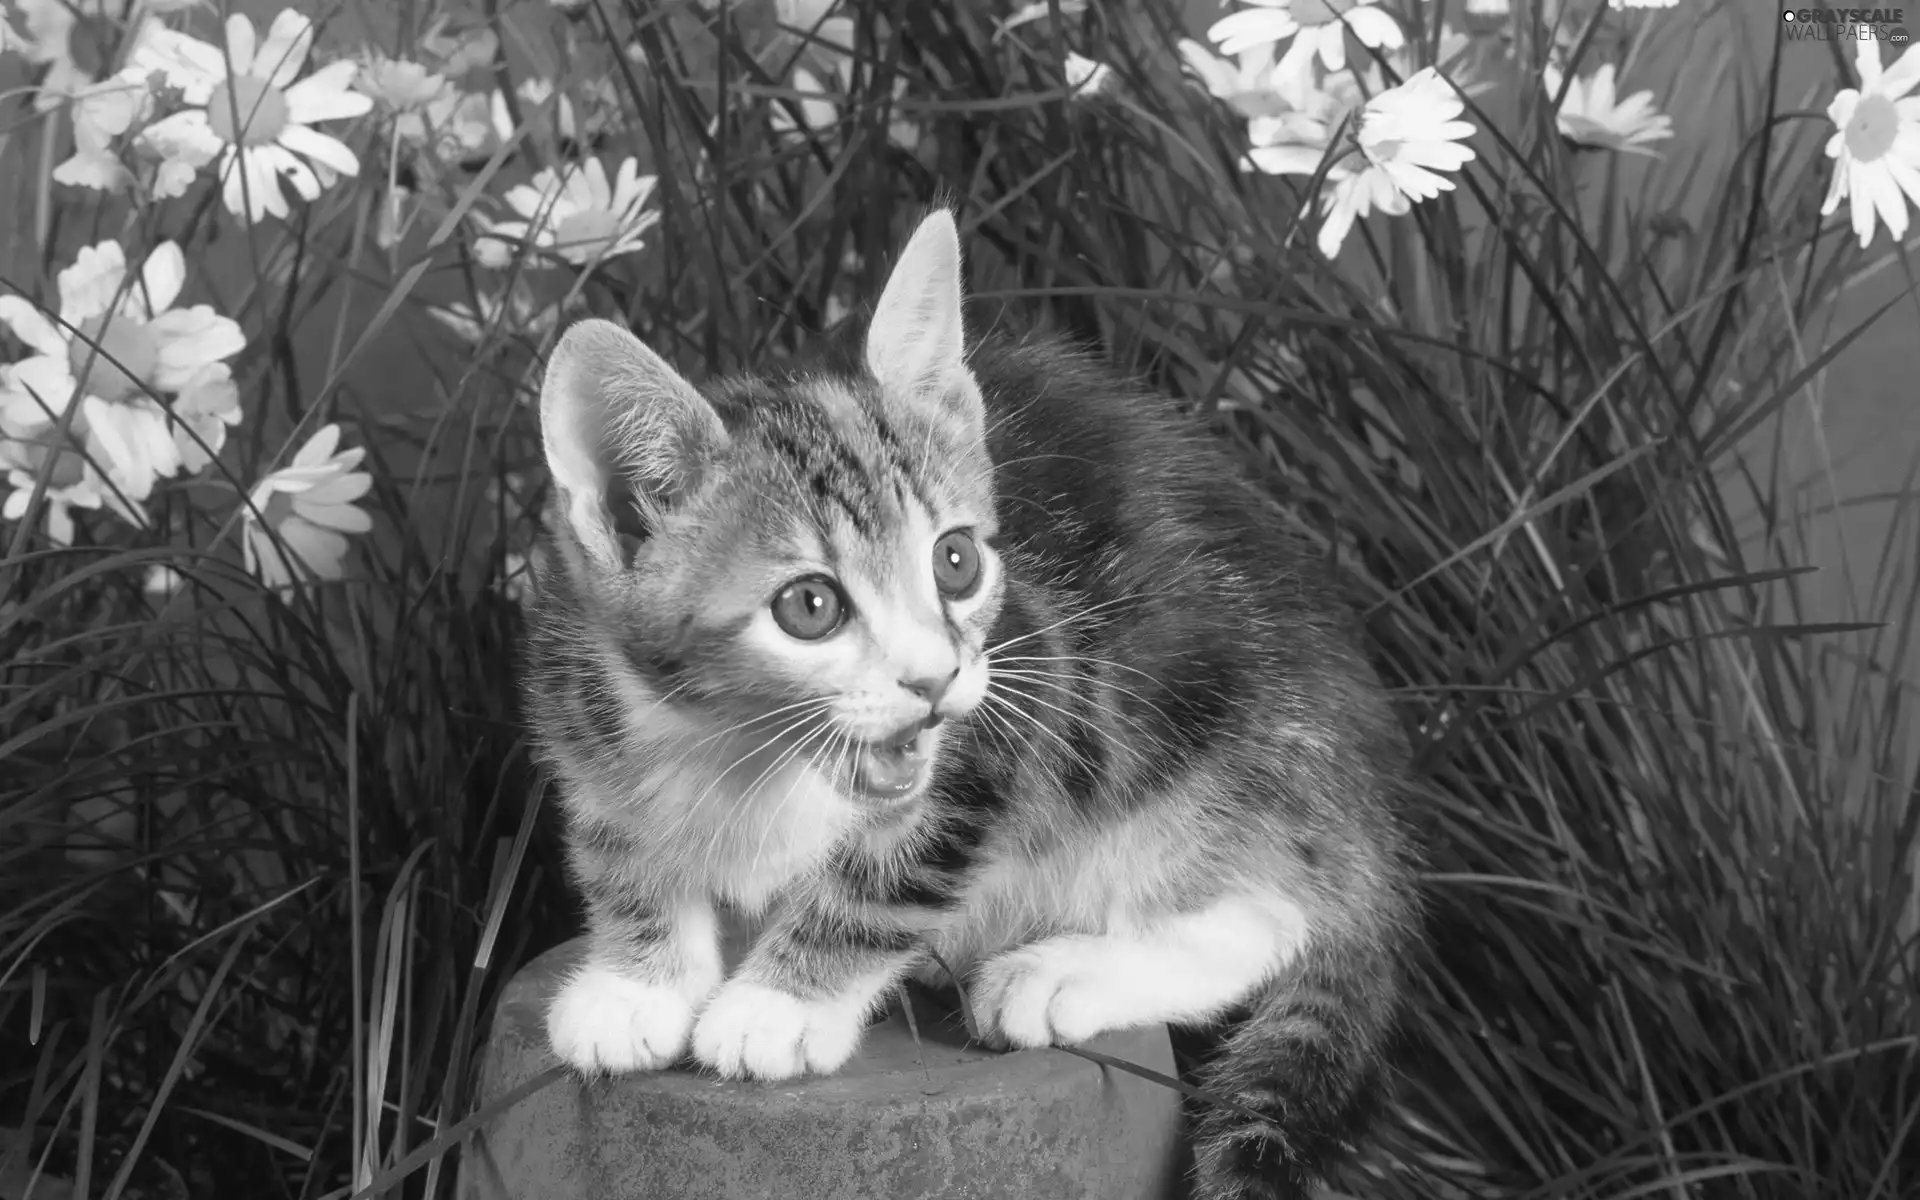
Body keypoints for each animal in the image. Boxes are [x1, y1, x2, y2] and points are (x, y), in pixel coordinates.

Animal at [518, 213, 1420, 1198]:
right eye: (810, 606)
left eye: (957, 561)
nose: (935, 678)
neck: (742, 747)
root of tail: (1363, 809)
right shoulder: (579, 701)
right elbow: (619, 846)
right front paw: (636, 981)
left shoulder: (1012, 708)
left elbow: (887, 876)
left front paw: (777, 1003)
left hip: (1194, 722)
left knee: (1271, 913)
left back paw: (1059, 973)